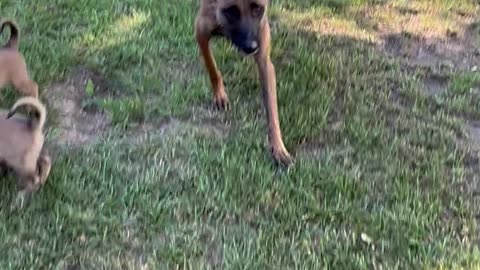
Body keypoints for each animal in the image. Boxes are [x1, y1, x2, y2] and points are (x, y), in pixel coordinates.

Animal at [194, 0, 292, 166]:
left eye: (258, 9)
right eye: (231, 11)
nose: (250, 47)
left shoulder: (264, 60)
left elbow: (272, 111)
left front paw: (279, 148)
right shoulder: (201, 30)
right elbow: (211, 66)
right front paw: (220, 95)